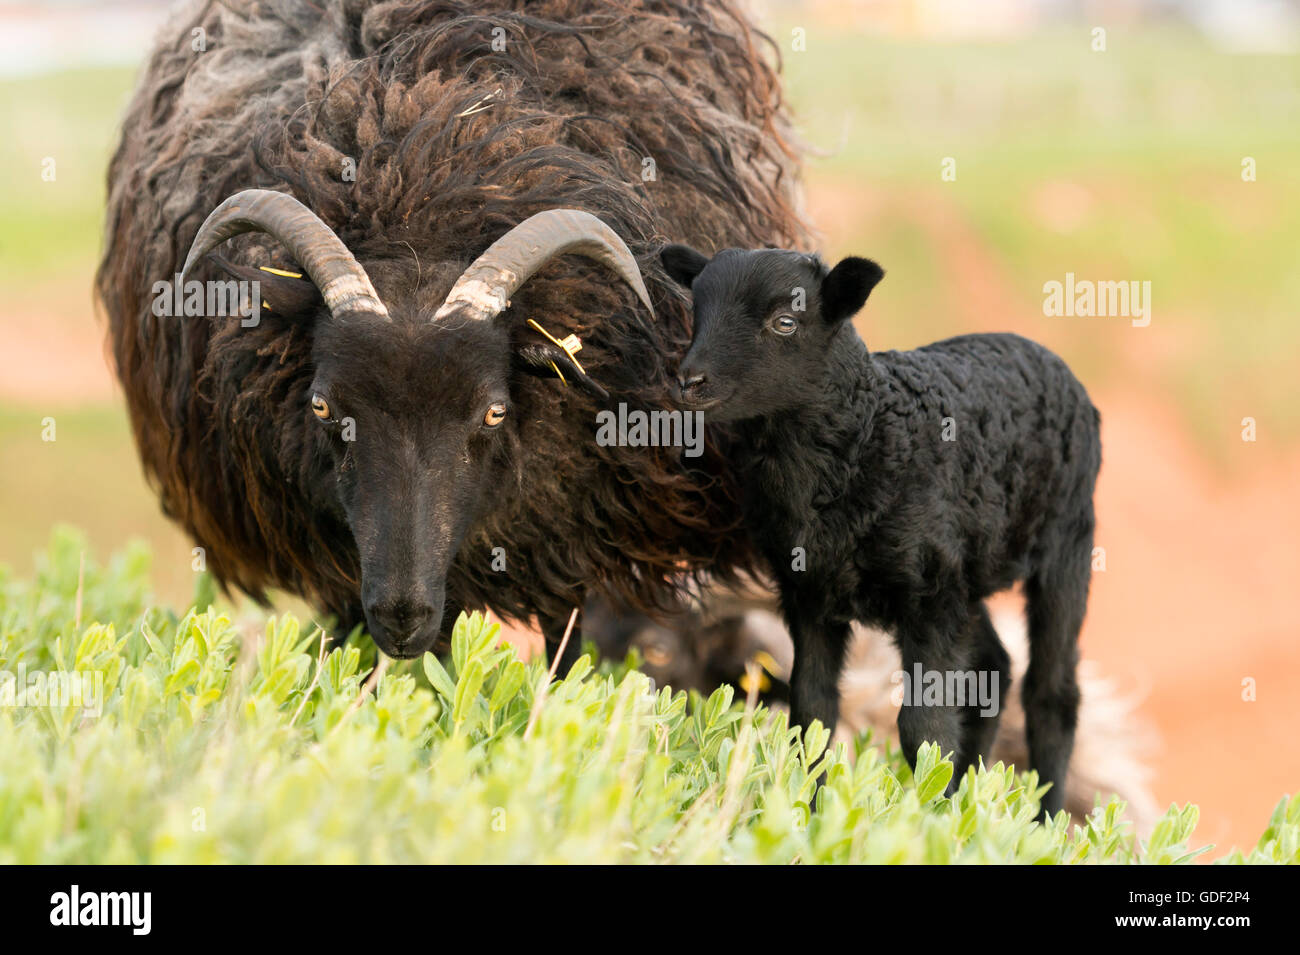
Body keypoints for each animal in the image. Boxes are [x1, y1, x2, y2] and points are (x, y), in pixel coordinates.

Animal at [660, 242, 1097, 815]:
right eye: (697, 310)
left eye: (784, 322)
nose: (690, 381)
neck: (869, 436)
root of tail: (1043, 352)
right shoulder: (810, 595)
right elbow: (812, 715)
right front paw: (812, 813)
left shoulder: (929, 600)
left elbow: (924, 730)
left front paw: (924, 819)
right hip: (964, 568)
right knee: (995, 668)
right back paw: (971, 801)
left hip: (1066, 541)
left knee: (1052, 695)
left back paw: (1042, 821)